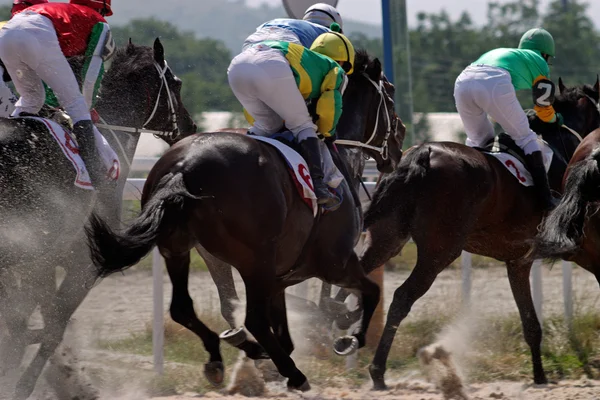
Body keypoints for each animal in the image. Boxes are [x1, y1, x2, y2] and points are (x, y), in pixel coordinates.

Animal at [0, 38, 196, 400]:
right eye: (176, 84)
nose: (191, 127)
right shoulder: (82, 263)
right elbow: (50, 326)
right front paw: (22, 383)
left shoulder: (42, 262)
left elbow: (29, 320)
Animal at [84, 50, 404, 390]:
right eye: (390, 96)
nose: (400, 142)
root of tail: (184, 167)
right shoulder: (335, 262)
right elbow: (371, 292)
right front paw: (350, 338)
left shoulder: (281, 278)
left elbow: (286, 331)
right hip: (256, 260)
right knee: (253, 318)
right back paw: (291, 371)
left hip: (178, 248)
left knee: (183, 308)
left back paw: (225, 355)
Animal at [356, 79, 600, 390]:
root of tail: (421, 154)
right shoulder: (572, 250)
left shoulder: (517, 260)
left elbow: (530, 323)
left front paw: (539, 376)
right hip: (440, 249)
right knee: (402, 297)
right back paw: (377, 370)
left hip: (387, 238)